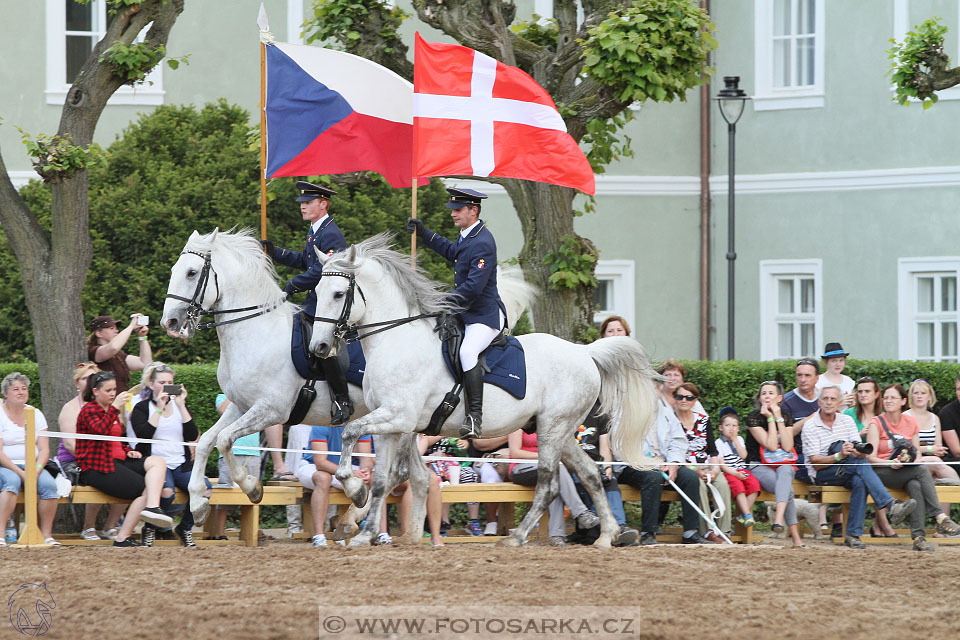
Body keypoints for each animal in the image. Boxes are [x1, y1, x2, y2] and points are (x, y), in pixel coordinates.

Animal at [159, 228, 532, 528]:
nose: (170, 322)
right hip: (409, 422)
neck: (255, 329)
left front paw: (251, 487)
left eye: (191, 272)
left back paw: (361, 510)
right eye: (174, 270)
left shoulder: (270, 410)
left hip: (401, 419)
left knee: (403, 475)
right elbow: (207, 442)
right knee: (416, 478)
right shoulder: (240, 405)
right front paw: (199, 503)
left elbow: (224, 441)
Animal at [308, 234, 660, 544]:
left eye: (338, 294)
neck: (396, 340)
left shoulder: (398, 417)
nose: (319, 347)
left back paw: (517, 536)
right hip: (557, 430)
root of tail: (584, 352)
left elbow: (351, 432)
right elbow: (382, 480)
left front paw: (354, 490)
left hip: (552, 429)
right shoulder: (392, 426)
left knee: (549, 484)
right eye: (317, 290)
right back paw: (607, 536)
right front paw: (363, 529)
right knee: (589, 474)